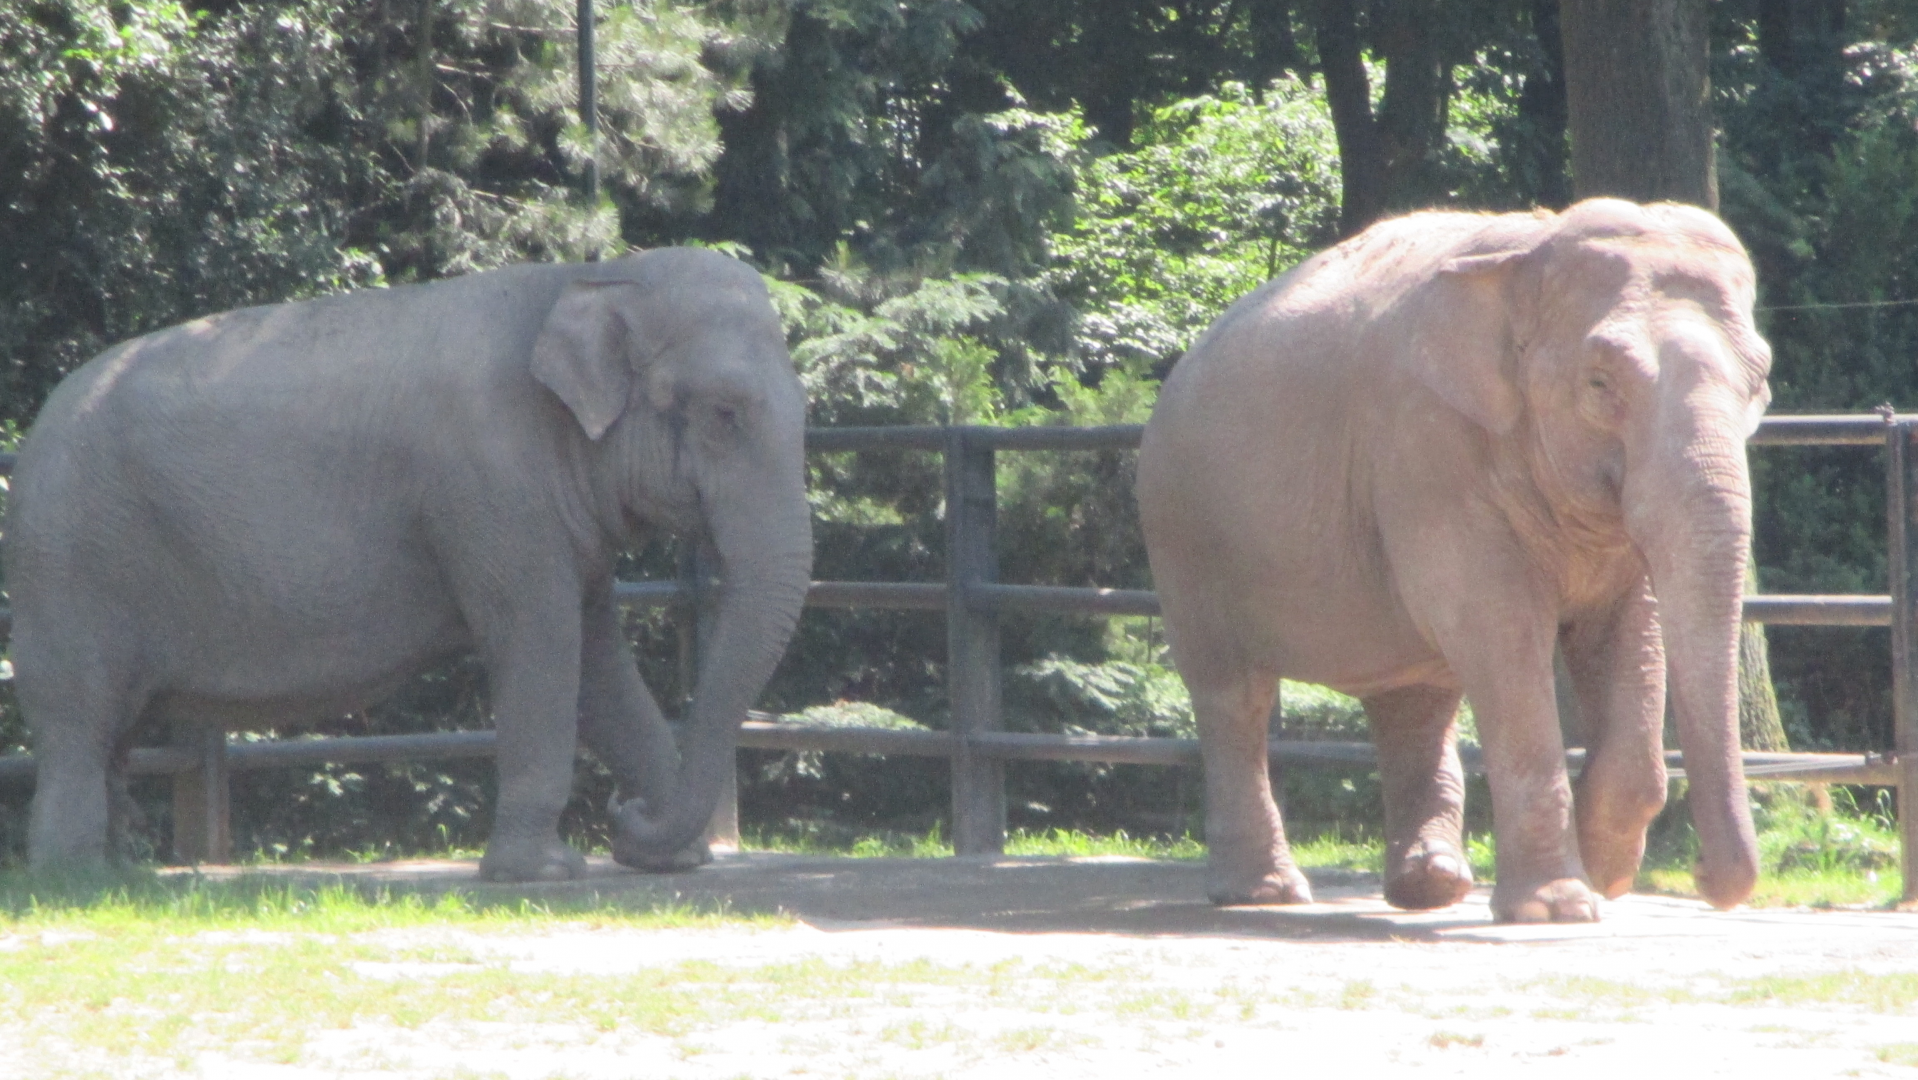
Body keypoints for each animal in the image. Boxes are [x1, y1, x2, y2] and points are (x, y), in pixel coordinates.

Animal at [2, 246, 812, 882]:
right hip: (70, 563)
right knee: (78, 719)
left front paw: (671, 859)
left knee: (112, 734)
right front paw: (543, 872)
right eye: (724, 416)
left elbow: (597, 659)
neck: (588, 279)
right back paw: (75, 880)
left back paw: (119, 874)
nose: (625, 812)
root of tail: (35, 428)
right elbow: (540, 638)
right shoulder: (492, 482)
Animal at [1136, 199, 1772, 923]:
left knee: (1415, 697)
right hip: (1182, 532)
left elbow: (1628, 634)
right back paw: (1265, 894)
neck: (1527, 254)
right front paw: (1561, 907)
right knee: (1233, 695)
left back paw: (1431, 886)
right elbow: (1501, 633)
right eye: (1600, 382)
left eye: (1761, 382)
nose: (1700, 873)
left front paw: (1603, 875)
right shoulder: (1427, 450)